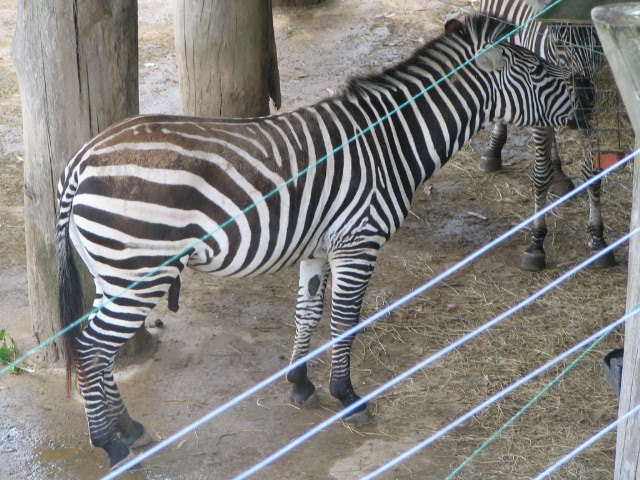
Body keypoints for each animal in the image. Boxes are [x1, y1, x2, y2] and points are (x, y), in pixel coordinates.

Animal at [57, 14, 584, 468]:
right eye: (539, 69)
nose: (590, 98)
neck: (389, 143)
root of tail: (81, 160)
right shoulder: (358, 242)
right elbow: (345, 320)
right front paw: (347, 395)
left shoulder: (317, 248)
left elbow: (307, 312)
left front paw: (299, 383)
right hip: (140, 268)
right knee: (92, 347)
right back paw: (109, 443)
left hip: (113, 269)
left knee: (97, 348)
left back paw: (127, 426)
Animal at [472, 0, 612, 270]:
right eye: (558, 43)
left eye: (595, 41)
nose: (585, 99)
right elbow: (540, 175)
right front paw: (536, 243)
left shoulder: (590, 115)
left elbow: (592, 172)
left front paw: (598, 239)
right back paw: (493, 151)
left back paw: (559, 173)